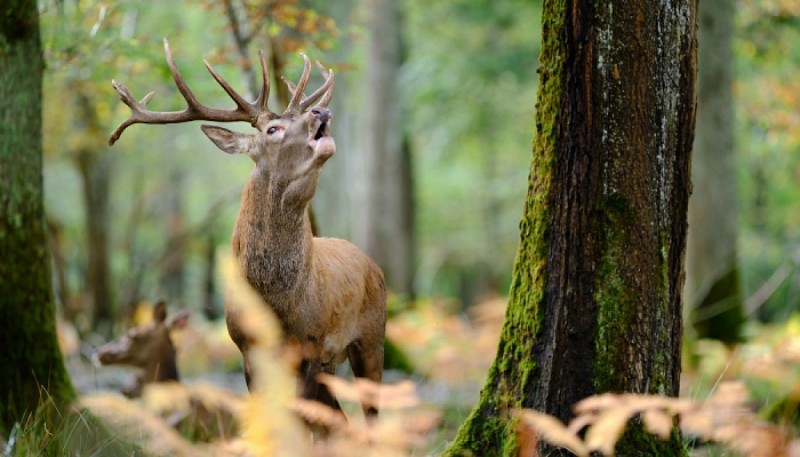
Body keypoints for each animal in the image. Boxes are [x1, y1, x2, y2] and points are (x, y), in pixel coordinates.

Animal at [108, 39, 387, 422]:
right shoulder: (246, 349)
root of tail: (372, 263)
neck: (275, 302)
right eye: (272, 129)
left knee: (369, 413)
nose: (321, 112)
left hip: (371, 337)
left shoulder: (312, 345)